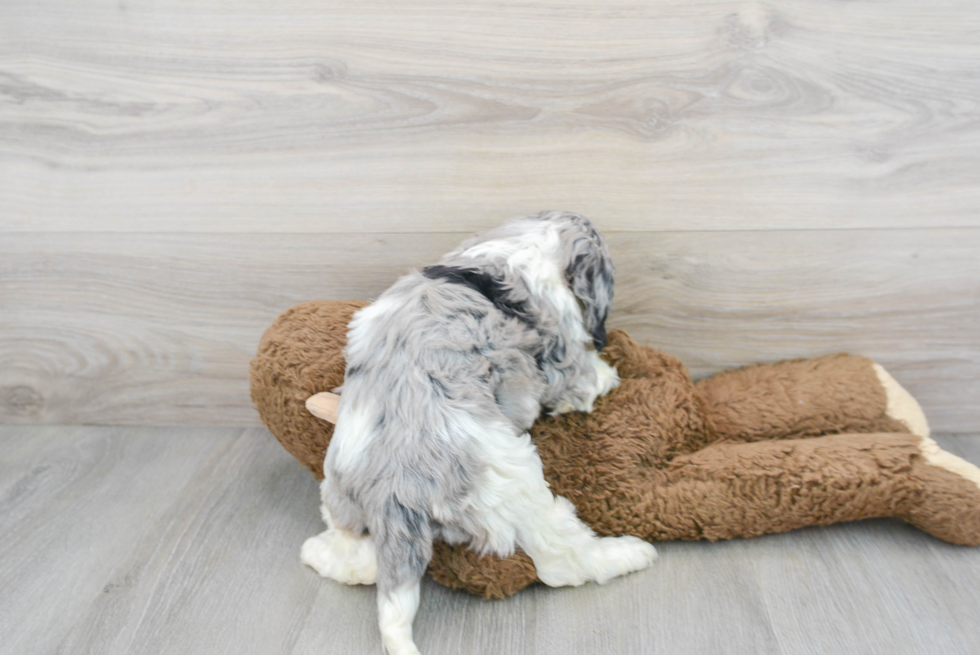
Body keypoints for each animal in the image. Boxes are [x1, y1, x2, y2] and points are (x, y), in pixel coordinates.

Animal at [300, 213, 660, 652]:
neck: (516, 249)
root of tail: (393, 492)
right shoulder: (568, 360)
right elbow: (589, 377)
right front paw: (609, 373)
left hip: (342, 497)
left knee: (359, 560)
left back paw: (317, 551)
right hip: (516, 484)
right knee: (560, 561)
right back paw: (629, 553)